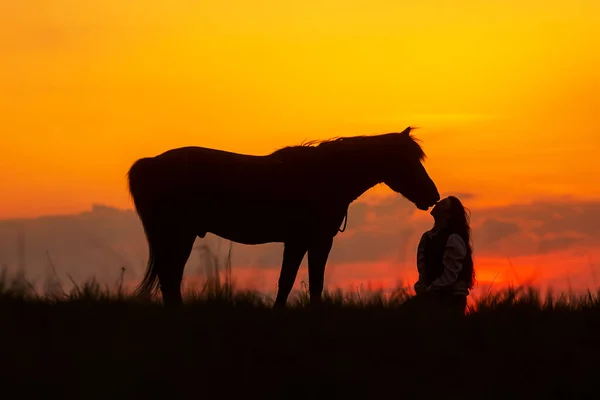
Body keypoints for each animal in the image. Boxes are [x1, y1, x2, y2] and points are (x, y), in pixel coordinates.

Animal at [127, 126, 440, 308]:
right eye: (409, 160)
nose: (433, 196)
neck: (326, 175)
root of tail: (149, 164)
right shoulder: (314, 241)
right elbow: (307, 282)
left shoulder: (299, 242)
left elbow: (289, 281)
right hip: (178, 234)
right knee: (170, 276)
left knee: (171, 277)